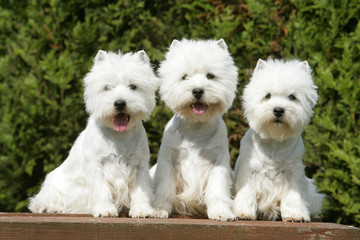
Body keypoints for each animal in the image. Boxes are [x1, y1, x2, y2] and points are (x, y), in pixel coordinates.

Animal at [28, 48, 167, 218]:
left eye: (133, 86)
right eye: (107, 87)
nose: (119, 103)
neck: (119, 136)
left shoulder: (139, 164)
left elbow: (141, 191)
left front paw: (142, 210)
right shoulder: (96, 164)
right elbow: (101, 189)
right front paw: (105, 209)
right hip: (54, 186)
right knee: (41, 201)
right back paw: (52, 208)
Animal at [152, 39, 239, 221]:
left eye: (210, 76)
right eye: (184, 76)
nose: (198, 91)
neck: (196, 127)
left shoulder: (218, 161)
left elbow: (217, 189)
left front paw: (221, 212)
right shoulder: (168, 161)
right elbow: (164, 188)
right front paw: (159, 210)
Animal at [233, 59, 324, 222]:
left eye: (292, 97)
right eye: (267, 95)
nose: (278, 110)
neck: (274, 141)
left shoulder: (293, 172)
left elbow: (293, 196)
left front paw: (295, 215)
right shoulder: (249, 170)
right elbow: (247, 193)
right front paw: (243, 213)